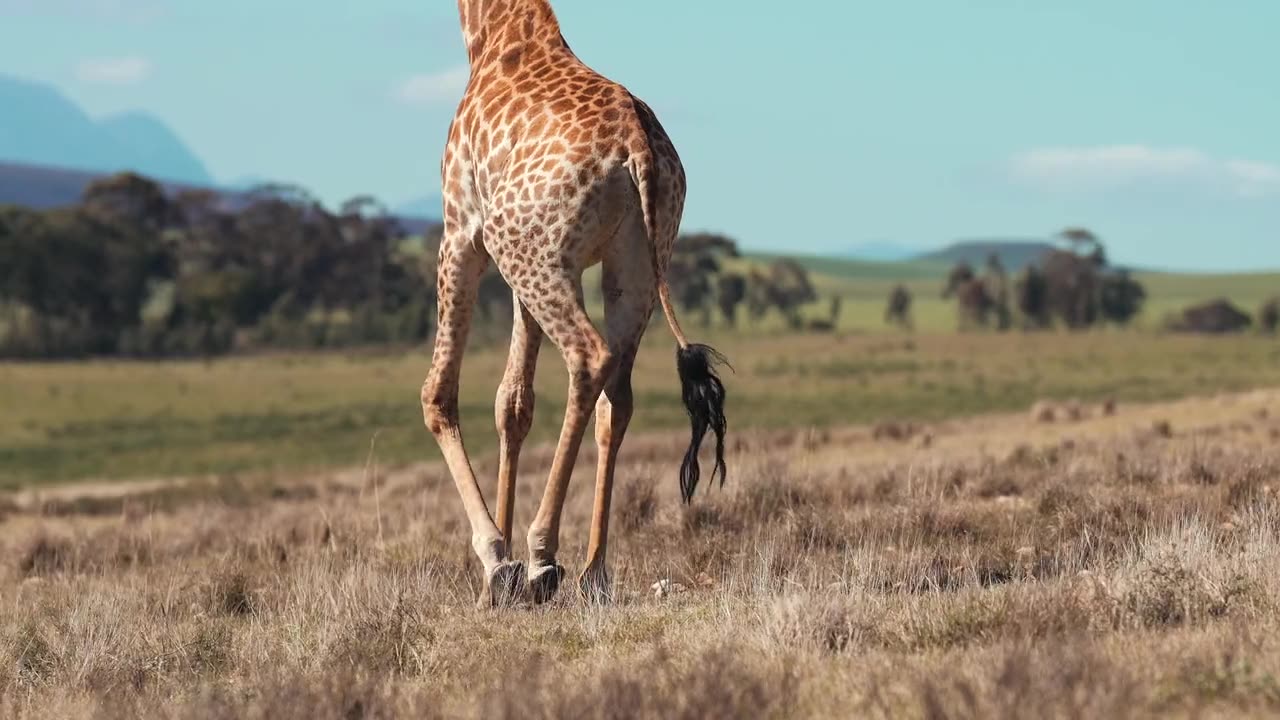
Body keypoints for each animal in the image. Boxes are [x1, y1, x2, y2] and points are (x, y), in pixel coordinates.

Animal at [422, 0, 732, 604]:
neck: (491, 34)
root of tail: (638, 149)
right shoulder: (520, 272)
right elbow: (512, 403)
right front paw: (499, 582)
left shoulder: (461, 232)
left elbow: (439, 394)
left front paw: (498, 560)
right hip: (629, 268)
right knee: (618, 396)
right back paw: (594, 570)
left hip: (535, 255)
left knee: (589, 359)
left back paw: (543, 556)